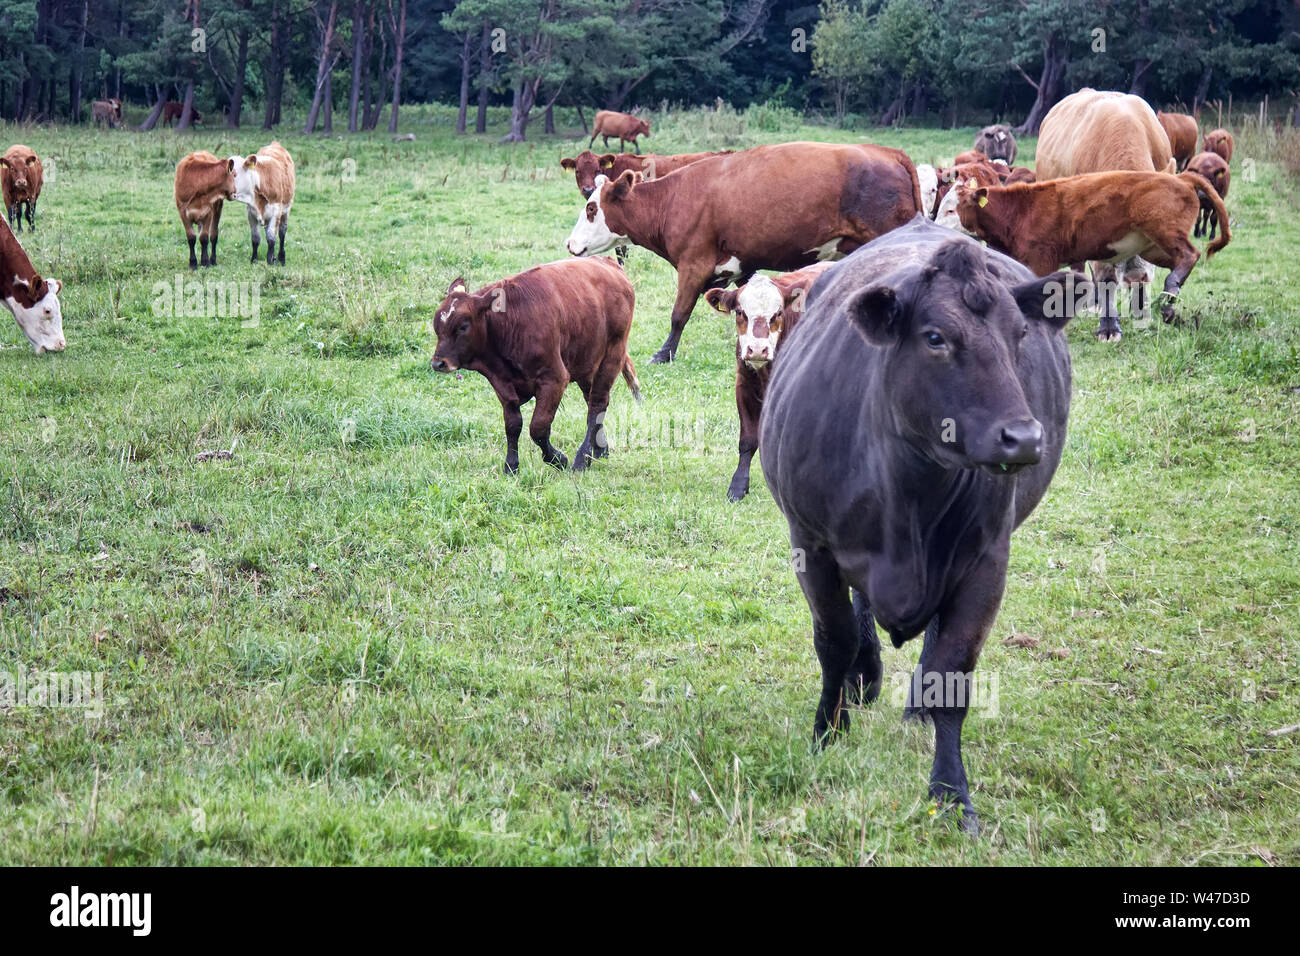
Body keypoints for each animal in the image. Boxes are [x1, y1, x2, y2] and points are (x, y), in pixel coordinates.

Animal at [430, 258, 640, 474]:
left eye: (463, 326)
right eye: (437, 326)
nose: (438, 363)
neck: (509, 323)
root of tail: (608, 263)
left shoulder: (554, 379)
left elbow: (538, 427)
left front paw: (558, 459)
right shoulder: (502, 385)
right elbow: (513, 425)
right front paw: (511, 465)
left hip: (611, 357)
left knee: (596, 406)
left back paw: (582, 458)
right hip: (587, 364)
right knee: (592, 402)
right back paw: (599, 451)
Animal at [565, 141, 922, 363]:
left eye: (592, 208)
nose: (570, 244)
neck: (674, 198)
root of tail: (890, 153)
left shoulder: (693, 264)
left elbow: (679, 314)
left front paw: (664, 354)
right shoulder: (741, 266)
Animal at [703, 262, 832, 502]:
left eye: (778, 313)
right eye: (740, 312)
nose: (757, 349)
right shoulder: (744, 386)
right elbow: (747, 440)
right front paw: (738, 486)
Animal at [760, 217, 1078, 833]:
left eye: (1020, 335)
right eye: (934, 337)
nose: (1024, 437)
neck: (908, 490)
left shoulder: (985, 563)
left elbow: (951, 673)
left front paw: (951, 791)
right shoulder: (811, 545)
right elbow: (833, 640)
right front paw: (827, 732)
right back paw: (864, 679)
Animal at [953, 170, 1230, 324]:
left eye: (956, 207)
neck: (1019, 210)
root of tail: (1180, 177)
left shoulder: (1041, 260)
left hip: (1163, 230)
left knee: (1190, 254)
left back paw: (1170, 289)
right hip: (1152, 246)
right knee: (1179, 261)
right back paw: (1170, 302)